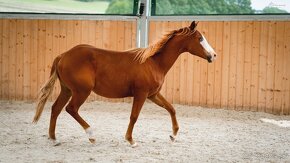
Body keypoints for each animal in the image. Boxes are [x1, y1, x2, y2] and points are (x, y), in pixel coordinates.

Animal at [32, 21, 216, 147]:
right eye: (200, 38)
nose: (213, 55)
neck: (154, 63)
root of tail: (63, 55)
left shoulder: (153, 95)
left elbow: (171, 109)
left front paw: (173, 135)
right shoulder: (141, 94)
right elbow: (134, 116)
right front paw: (131, 140)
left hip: (67, 90)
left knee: (55, 108)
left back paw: (54, 139)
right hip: (81, 91)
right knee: (71, 109)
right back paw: (91, 135)